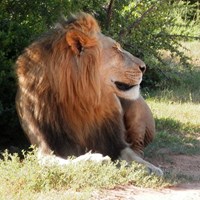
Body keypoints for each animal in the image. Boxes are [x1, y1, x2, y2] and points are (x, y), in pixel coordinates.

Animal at [15, 12, 162, 175]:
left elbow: (131, 155)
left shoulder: (115, 141)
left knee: (138, 146)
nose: (144, 67)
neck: (83, 99)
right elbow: (67, 162)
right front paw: (97, 159)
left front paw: (150, 168)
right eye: (116, 49)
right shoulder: (44, 148)